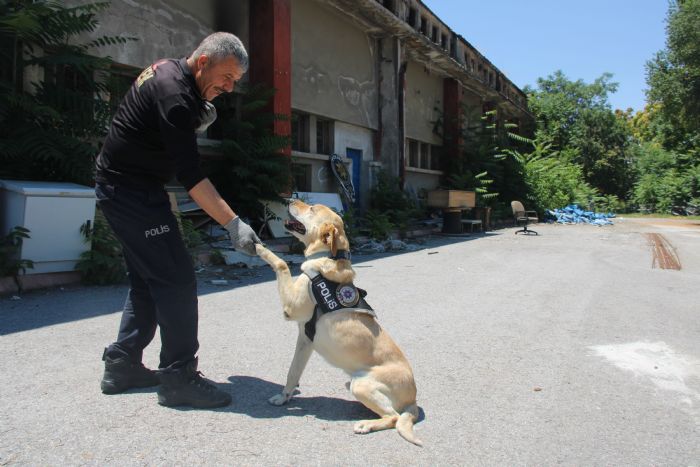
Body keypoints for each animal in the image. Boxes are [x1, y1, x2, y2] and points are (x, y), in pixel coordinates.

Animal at [258, 200, 422, 446]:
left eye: (311, 209)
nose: (289, 200)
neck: (330, 256)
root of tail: (414, 400)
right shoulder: (305, 340)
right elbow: (293, 372)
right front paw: (284, 397)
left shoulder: (291, 308)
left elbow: (281, 264)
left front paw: (258, 247)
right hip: (353, 383)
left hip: (361, 384)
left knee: (393, 417)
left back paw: (366, 424)